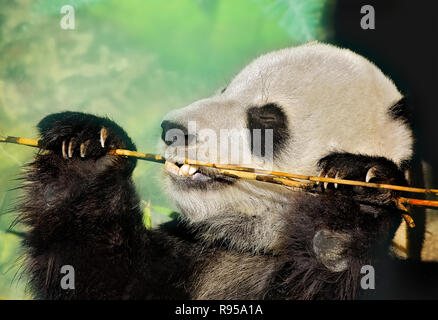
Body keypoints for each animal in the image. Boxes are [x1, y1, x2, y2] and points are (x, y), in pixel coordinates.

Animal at [18, 43, 438, 300]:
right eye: (224, 91)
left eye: (265, 120)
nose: (173, 129)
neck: (259, 243)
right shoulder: (194, 252)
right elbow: (103, 280)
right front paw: (85, 149)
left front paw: (352, 203)